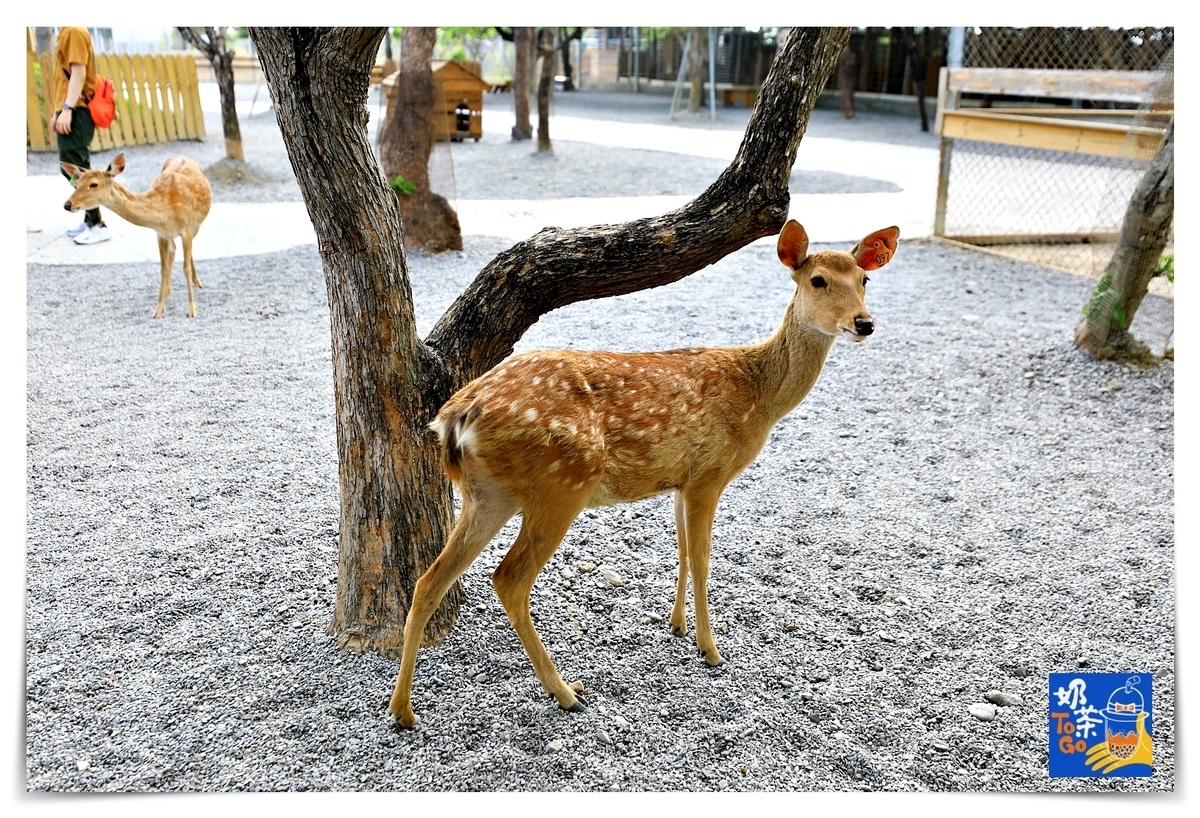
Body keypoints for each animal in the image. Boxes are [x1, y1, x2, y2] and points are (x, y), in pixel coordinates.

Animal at [61, 151, 213, 316]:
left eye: (94, 184)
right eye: (77, 183)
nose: (67, 204)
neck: (165, 211)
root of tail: (182, 156)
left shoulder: (186, 229)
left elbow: (185, 268)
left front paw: (192, 310)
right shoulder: (160, 233)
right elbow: (163, 268)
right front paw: (158, 310)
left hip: (196, 225)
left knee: (188, 253)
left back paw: (197, 282)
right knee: (173, 251)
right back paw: (167, 291)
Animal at [391, 218, 902, 724]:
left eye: (864, 280)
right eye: (818, 280)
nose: (864, 323)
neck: (758, 393)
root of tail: (456, 417)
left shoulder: (679, 479)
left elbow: (681, 552)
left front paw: (676, 626)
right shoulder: (710, 473)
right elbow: (703, 559)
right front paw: (710, 649)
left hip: (488, 493)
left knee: (429, 579)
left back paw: (403, 710)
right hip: (561, 483)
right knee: (508, 578)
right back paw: (565, 692)